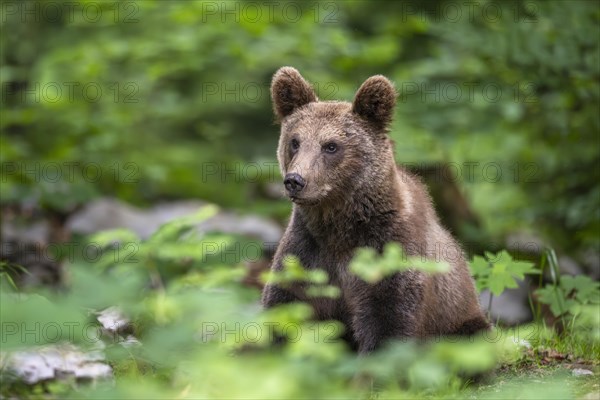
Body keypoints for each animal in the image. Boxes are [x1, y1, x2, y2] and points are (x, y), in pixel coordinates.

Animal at [262, 66, 488, 354]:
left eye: (331, 145)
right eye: (295, 141)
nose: (295, 180)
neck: (338, 224)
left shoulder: (388, 249)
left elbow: (388, 320)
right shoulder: (307, 250)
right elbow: (286, 306)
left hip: (460, 318)